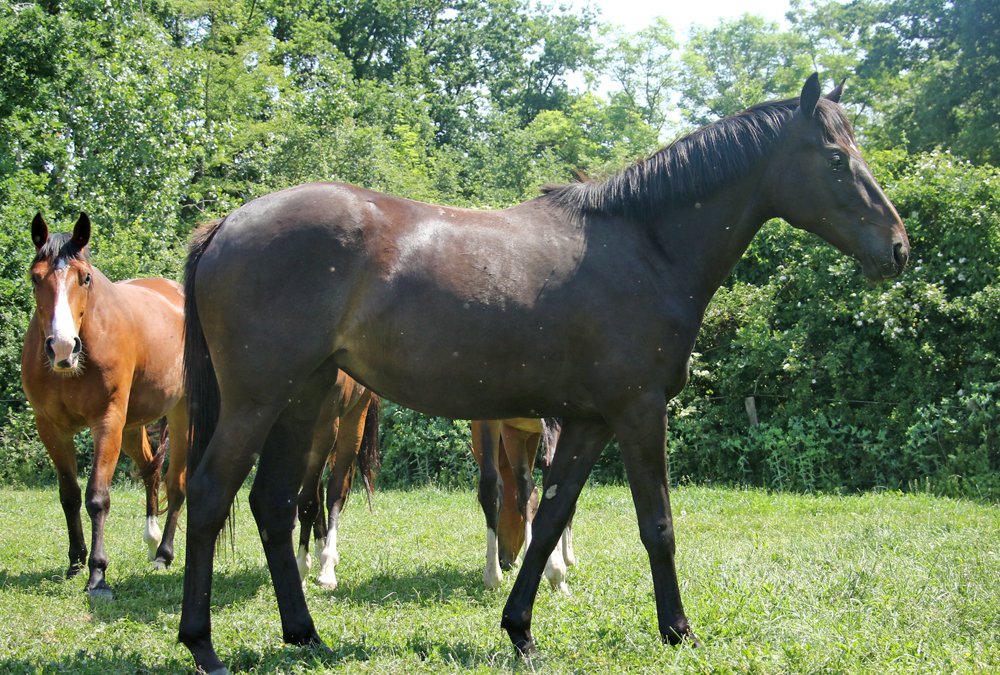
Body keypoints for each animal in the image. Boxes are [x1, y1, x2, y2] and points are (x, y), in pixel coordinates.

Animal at [21, 213, 188, 597]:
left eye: (85, 277)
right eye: (35, 277)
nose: (62, 347)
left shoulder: (106, 422)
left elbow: (97, 497)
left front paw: (97, 574)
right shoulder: (51, 427)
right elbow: (69, 494)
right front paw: (75, 562)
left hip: (181, 415)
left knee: (176, 483)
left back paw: (164, 553)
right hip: (131, 427)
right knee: (150, 470)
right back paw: (151, 538)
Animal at [293, 372, 381, 589]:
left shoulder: (325, 424)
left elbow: (308, 503)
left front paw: (302, 567)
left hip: (353, 421)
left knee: (334, 492)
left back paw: (327, 564)